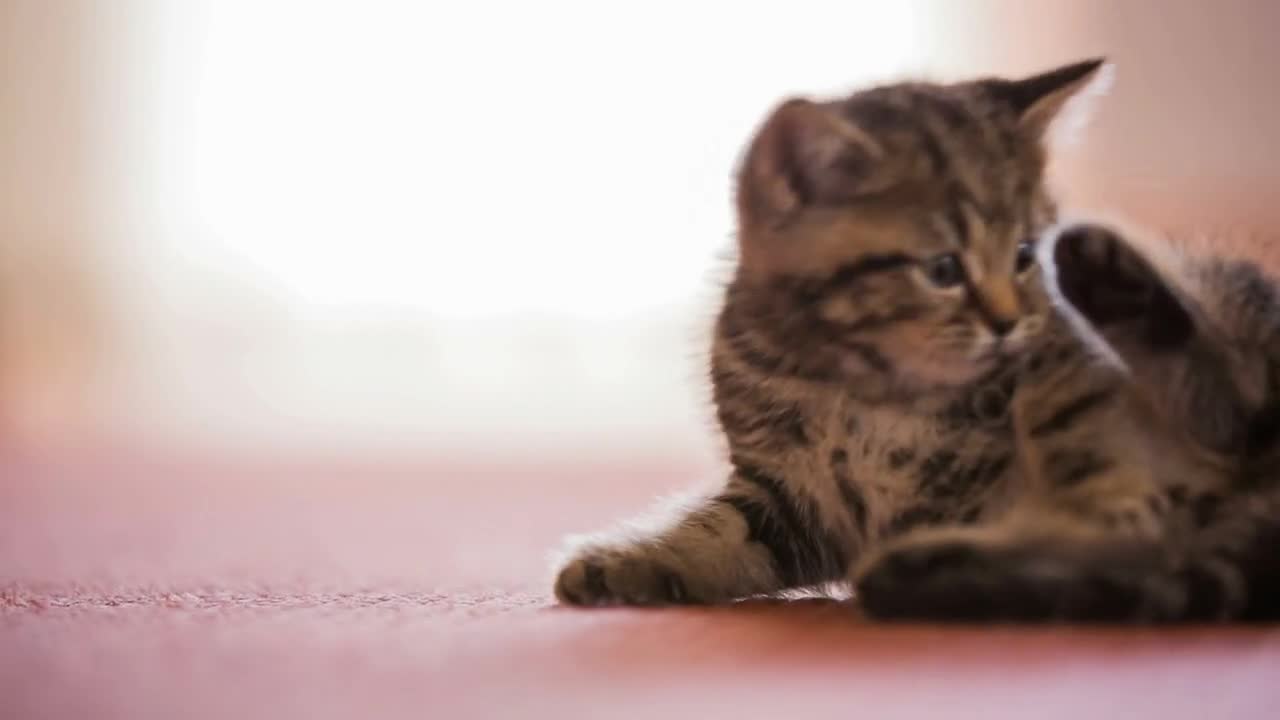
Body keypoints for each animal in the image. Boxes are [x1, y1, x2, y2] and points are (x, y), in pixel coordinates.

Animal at [550, 58, 1141, 609]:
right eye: (944, 269)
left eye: (1024, 254)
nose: (1008, 321)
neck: (853, 382)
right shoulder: (783, 496)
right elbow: (712, 535)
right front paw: (619, 564)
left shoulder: (970, 482)